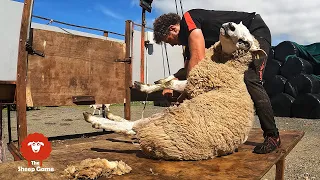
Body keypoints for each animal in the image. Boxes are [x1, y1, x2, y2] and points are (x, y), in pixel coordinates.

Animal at [83, 21, 268, 160]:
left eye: (245, 42)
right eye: (238, 26)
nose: (230, 26)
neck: (230, 69)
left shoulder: (197, 84)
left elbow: (171, 84)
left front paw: (148, 86)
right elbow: (168, 83)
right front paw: (147, 85)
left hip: (166, 123)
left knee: (133, 127)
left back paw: (96, 119)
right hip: (162, 116)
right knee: (133, 125)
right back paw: (109, 115)